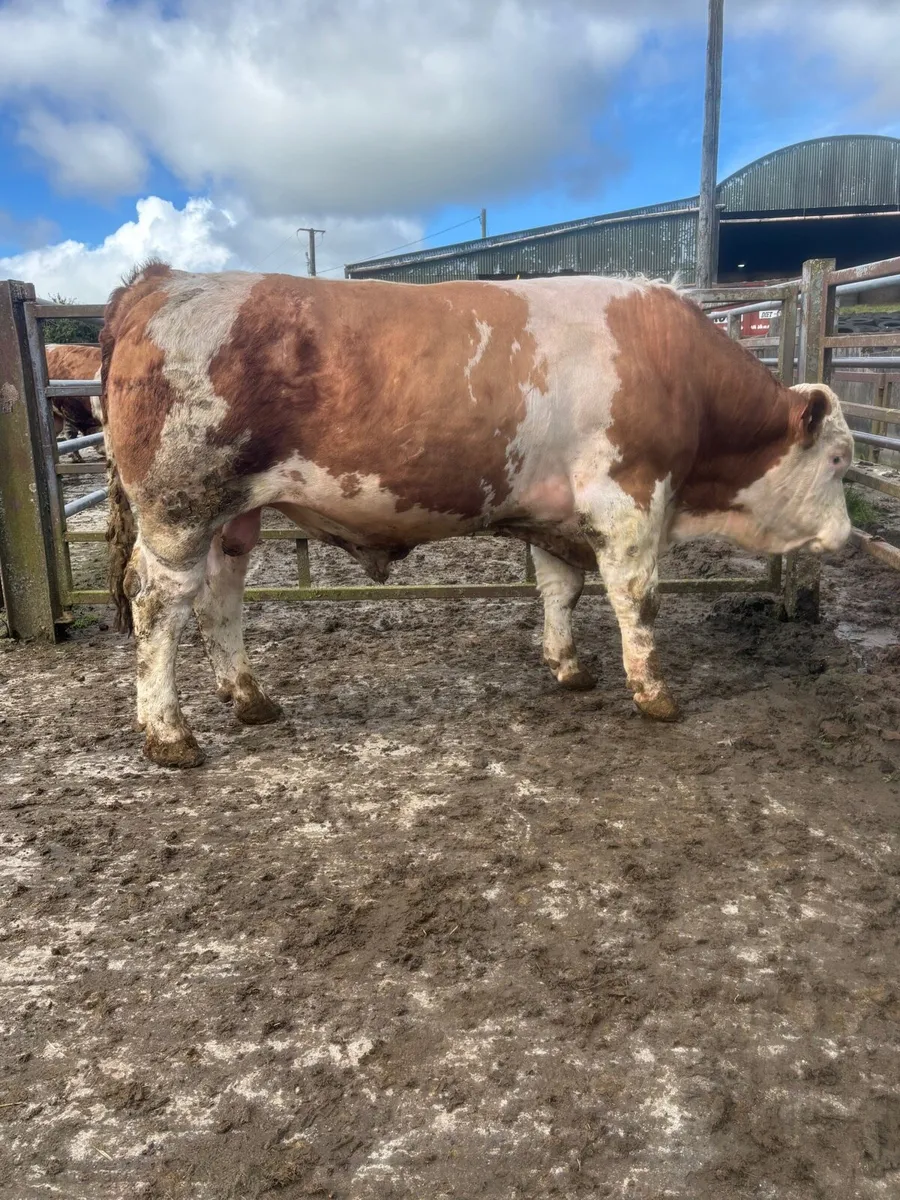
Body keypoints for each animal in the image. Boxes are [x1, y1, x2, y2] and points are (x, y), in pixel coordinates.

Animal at [100, 261, 853, 768]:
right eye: (842, 459)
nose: (847, 536)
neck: (681, 374)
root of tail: (162, 281)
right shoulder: (629, 500)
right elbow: (637, 600)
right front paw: (655, 695)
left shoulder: (555, 513)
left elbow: (561, 590)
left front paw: (569, 667)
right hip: (179, 510)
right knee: (158, 606)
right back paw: (169, 735)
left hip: (231, 520)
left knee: (219, 600)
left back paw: (251, 699)